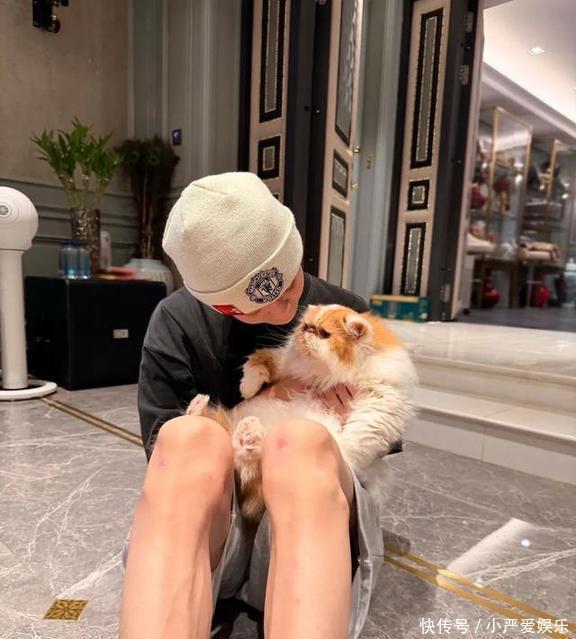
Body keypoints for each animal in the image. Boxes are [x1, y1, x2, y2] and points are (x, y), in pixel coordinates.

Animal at [186, 303, 417, 521]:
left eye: (323, 334)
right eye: (306, 326)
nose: (307, 332)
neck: (324, 374)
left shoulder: (381, 398)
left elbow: (361, 433)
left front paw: (346, 450)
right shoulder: (285, 362)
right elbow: (258, 363)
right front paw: (247, 389)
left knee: (249, 464)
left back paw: (246, 434)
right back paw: (203, 408)